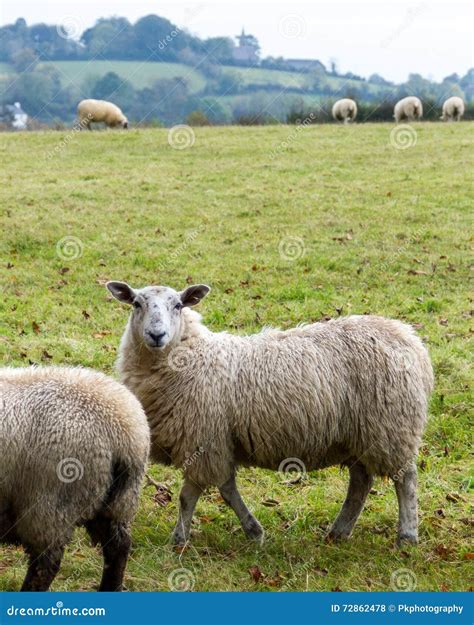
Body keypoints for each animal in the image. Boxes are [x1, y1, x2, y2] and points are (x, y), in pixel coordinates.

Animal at [107, 280, 434, 548]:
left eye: (178, 305)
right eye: (137, 304)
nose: (156, 334)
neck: (191, 355)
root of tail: (410, 339)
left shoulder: (202, 441)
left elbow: (189, 495)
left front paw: (179, 539)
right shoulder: (217, 441)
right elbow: (227, 490)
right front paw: (254, 531)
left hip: (391, 427)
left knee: (406, 479)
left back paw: (407, 536)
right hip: (359, 434)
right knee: (361, 482)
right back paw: (339, 532)